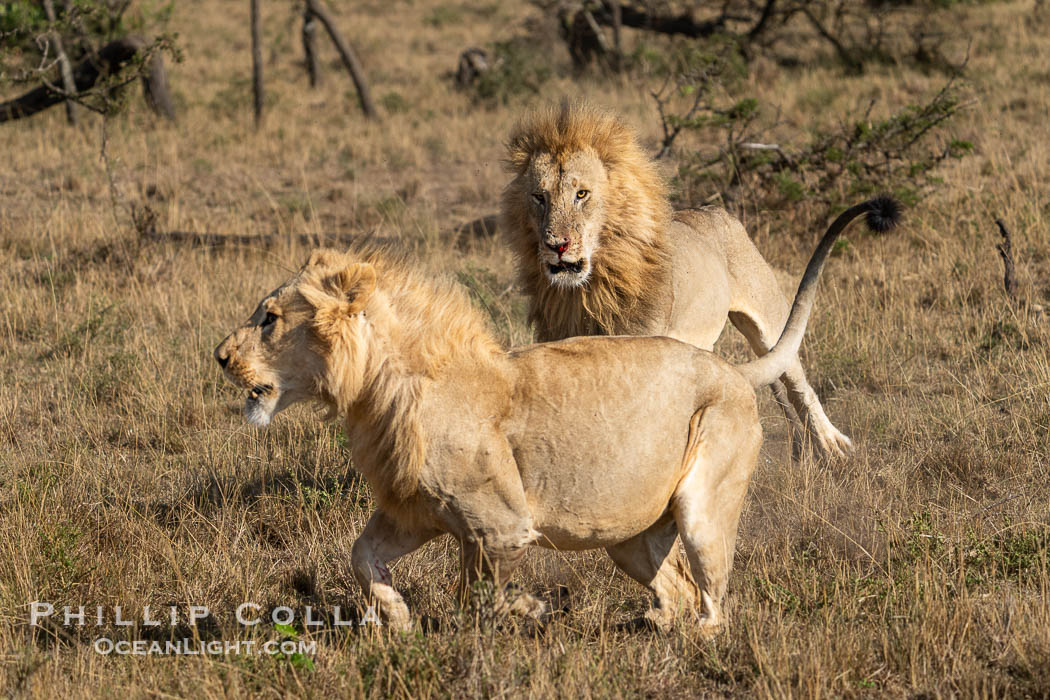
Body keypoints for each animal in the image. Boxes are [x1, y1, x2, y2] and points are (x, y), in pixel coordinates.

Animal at [215, 197, 902, 633]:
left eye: (268, 319)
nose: (219, 356)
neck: (375, 394)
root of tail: (731, 370)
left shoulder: (499, 526)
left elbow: (477, 599)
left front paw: (532, 612)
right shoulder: (416, 511)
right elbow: (361, 557)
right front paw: (400, 621)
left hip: (704, 504)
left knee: (713, 605)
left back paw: (682, 634)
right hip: (629, 540)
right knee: (677, 590)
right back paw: (654, 623)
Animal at [503, 99, 856, 459]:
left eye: (581, 194)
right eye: (539, 197)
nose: (557, 245)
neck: (589, 290)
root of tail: (715, 210)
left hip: (768, 321)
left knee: (799, 384)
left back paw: (832, 446)